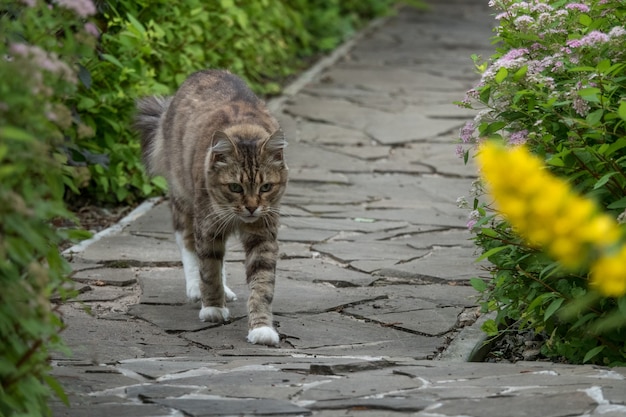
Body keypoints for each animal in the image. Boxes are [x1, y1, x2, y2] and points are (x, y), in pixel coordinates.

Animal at [134, 70, 288, 346]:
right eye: (235, 187)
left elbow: (261, 284)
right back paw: (196, 288)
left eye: (266, 187)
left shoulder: (263, 233)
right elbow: (209, 269)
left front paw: (261, 328)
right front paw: (213, 307)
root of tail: (203, 72)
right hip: (184, 200)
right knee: (187, 244)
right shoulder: (207, 226)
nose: (251, 208)